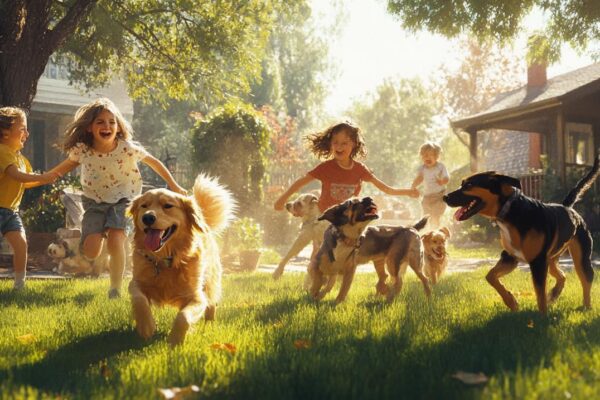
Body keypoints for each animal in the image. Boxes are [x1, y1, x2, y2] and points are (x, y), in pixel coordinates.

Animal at [127, 173, 234, 346]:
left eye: (168, 206)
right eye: (144, 205)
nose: (147, 217)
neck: (163, 260)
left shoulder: (197, 297)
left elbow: (183, 316)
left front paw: (174, 341)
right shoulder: (136, 282)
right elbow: (139, 299)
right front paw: (146, 326)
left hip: (211, 281)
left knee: (212, 302)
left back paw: (209, 323)